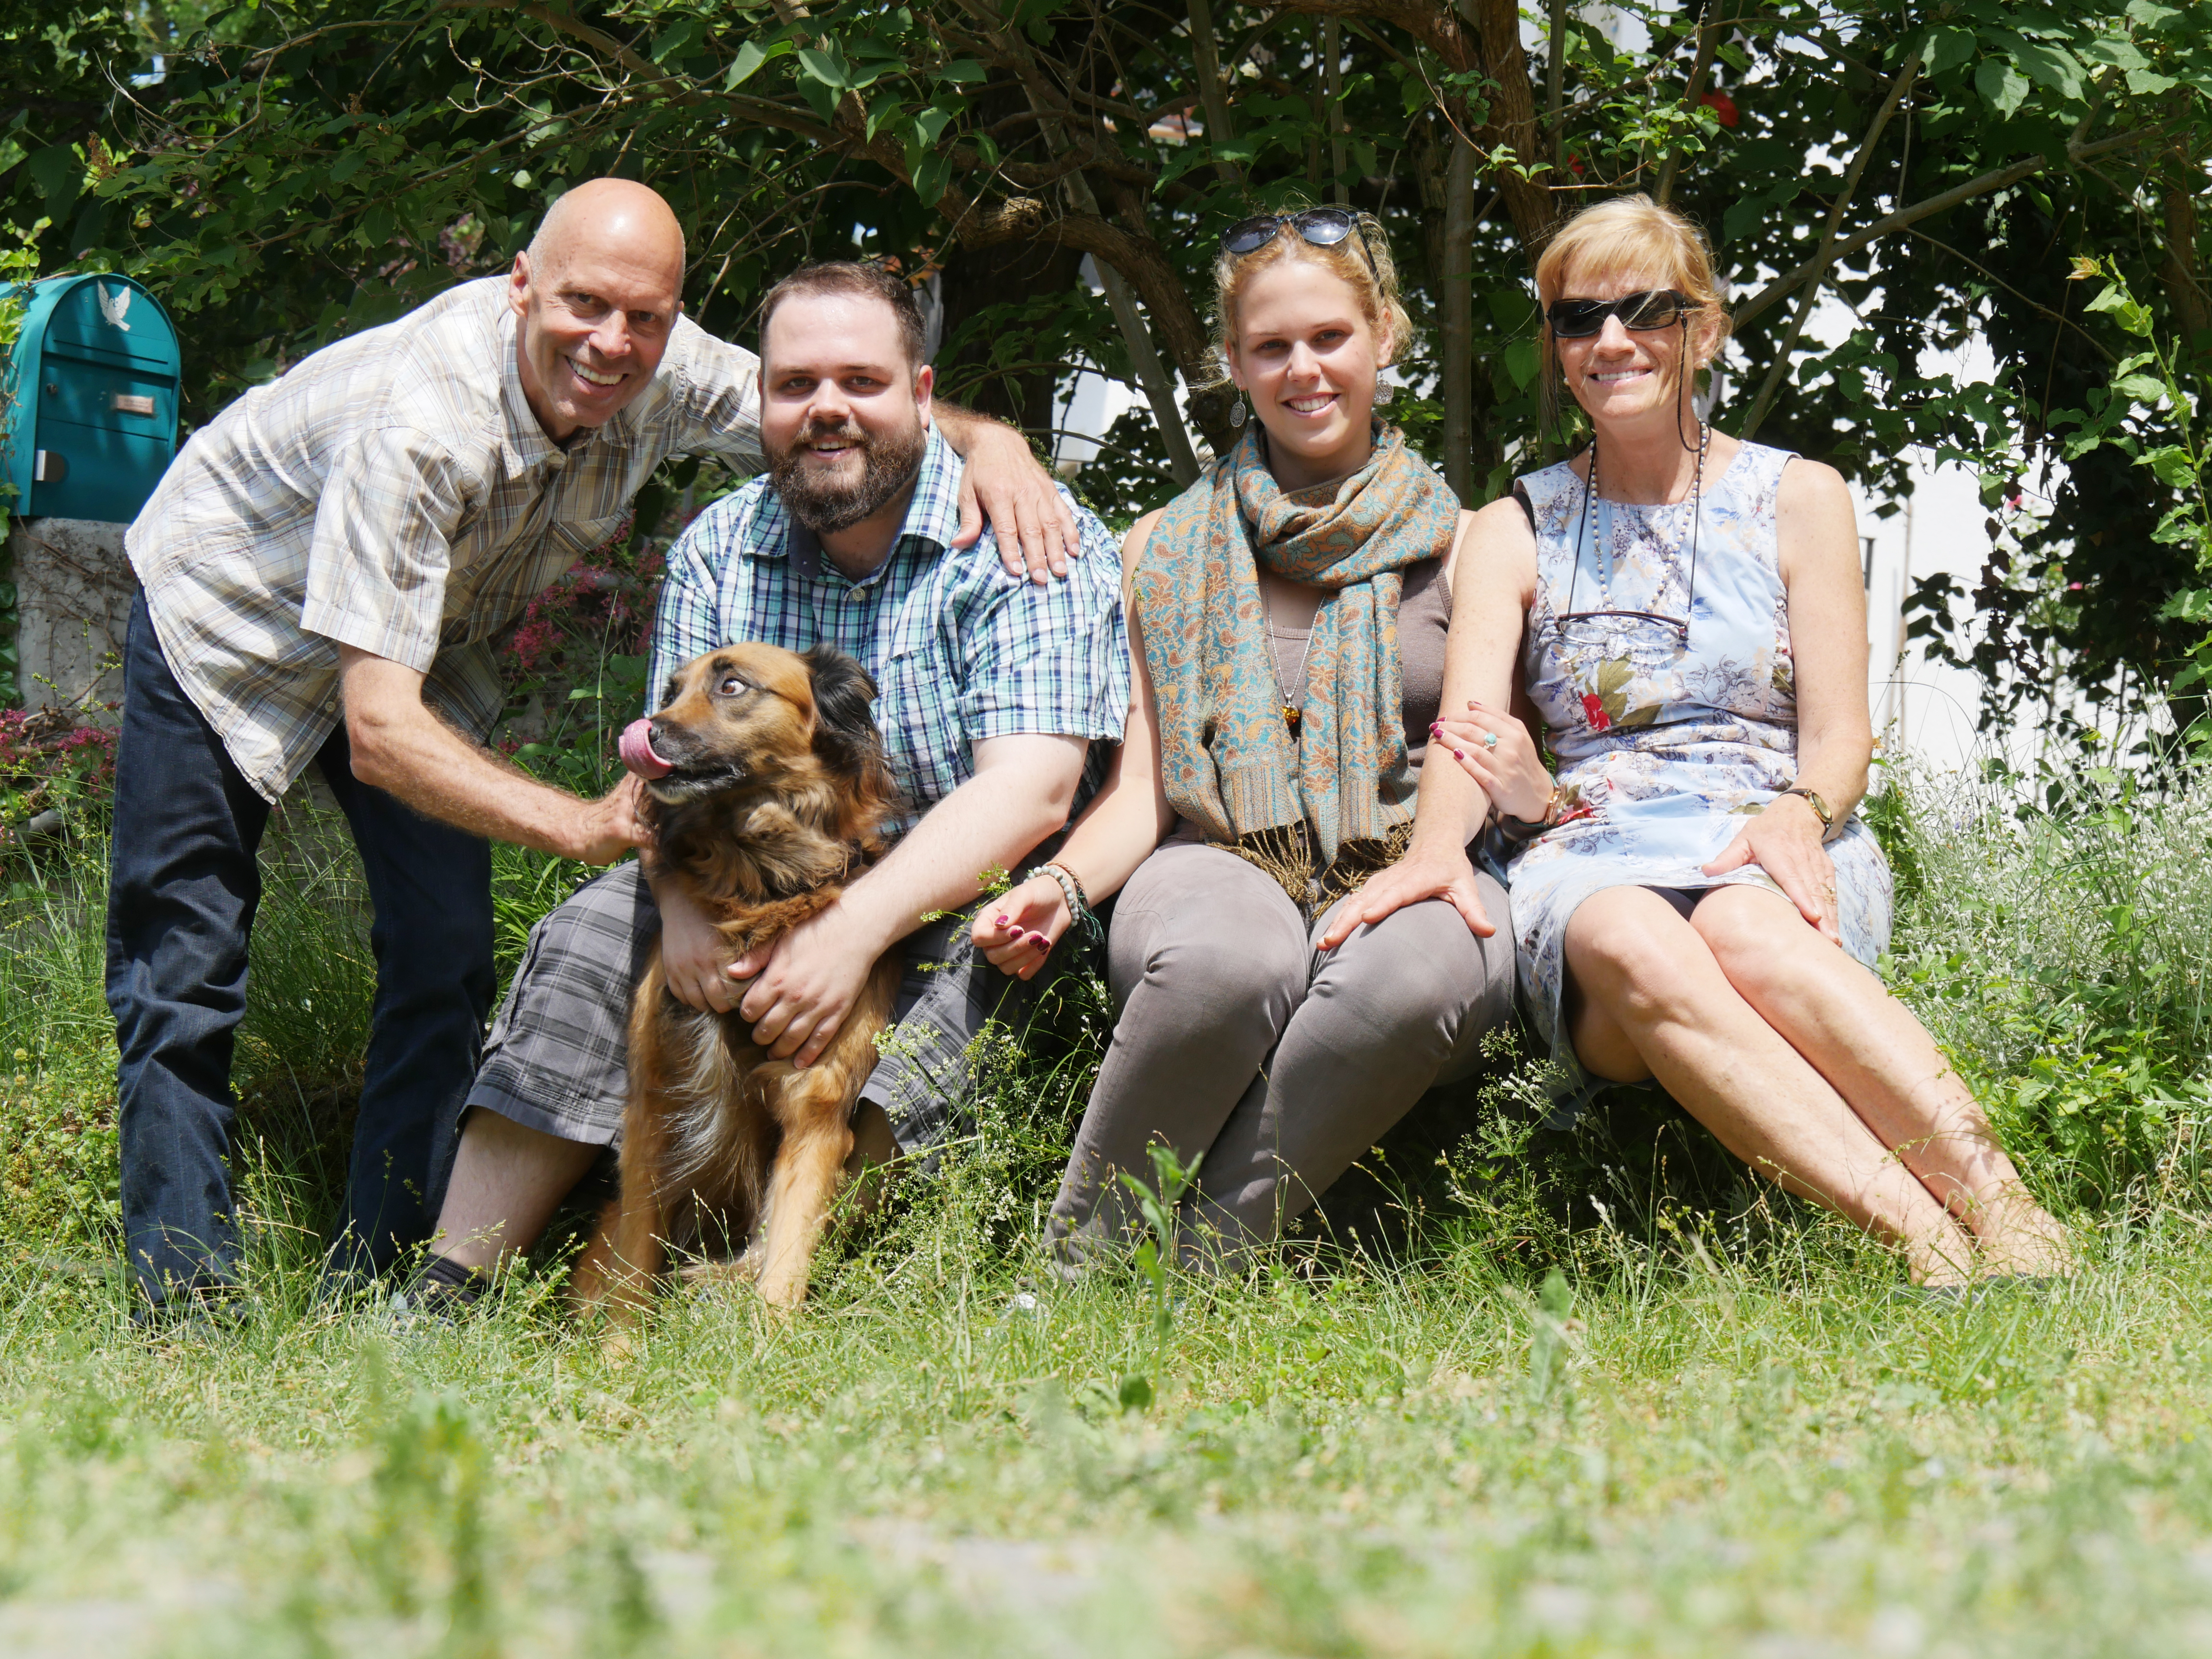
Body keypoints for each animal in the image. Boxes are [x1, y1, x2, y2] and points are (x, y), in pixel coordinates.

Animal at [579, 641, 907, 1318]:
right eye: (671, 691)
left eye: (732, 685)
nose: (646, 732)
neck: (760, 885)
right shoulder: (655, 1103)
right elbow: (631, 1281)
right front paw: (620, 1349)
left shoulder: (817, 1108)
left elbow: (783, 1271)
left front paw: (769, 1340)